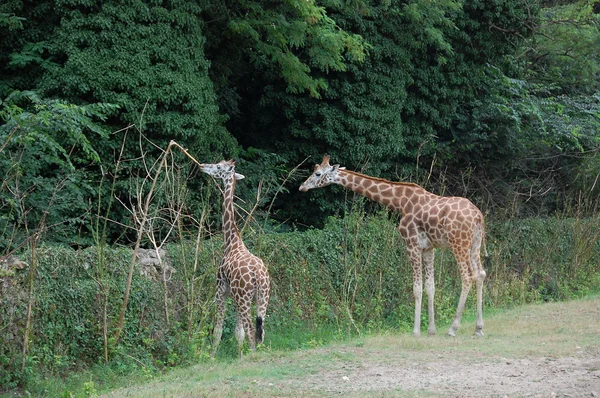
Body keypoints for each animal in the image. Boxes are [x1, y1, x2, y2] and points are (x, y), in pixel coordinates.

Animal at [199, 159, 270, 358]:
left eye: (218, 166)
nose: (202, 166)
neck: (231, 242)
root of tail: (258, 275)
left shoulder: (221, 290)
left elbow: (218, 330)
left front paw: (212, 357)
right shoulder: (237, 296)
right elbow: (239, 333)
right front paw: (240, 358)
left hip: (244, 297)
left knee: (252, 330)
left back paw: (253, 356)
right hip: (262, 297)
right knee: (260, 331)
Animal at [298, 155, 488, 336]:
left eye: (317, 174)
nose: (302, 187)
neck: (400, 203)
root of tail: (478, 215)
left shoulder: (412, 244)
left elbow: (417, 288)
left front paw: (416, 331)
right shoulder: (428, 248)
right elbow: (430, 287)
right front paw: (431, 330)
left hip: (459, 244)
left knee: (467, 277)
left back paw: (453, 328)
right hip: (475, 244)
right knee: (480, 274)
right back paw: (478, 328)